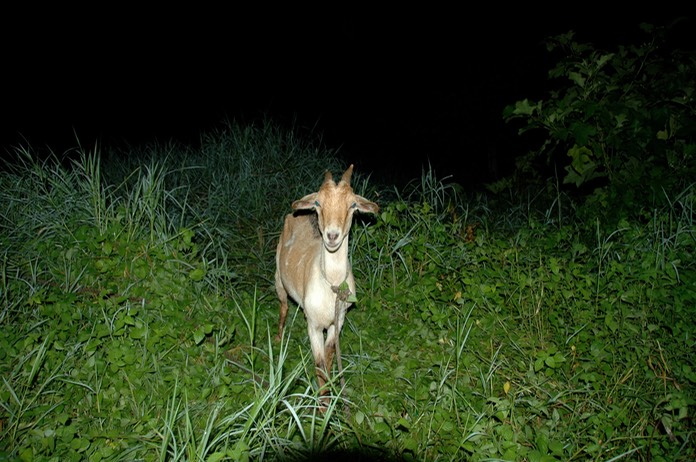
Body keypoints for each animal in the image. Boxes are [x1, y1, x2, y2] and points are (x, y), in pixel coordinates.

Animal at [274, 164, 378, 403]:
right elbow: (319, 364)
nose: (332, 236)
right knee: (283, 307)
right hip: (278, 278)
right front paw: (323, 405)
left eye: (353, 205)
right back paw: (278, 337)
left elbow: (330, 356)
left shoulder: (337, 322)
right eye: (318, 202)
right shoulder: (313, 325)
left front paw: (331, 392)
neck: (331, 285)